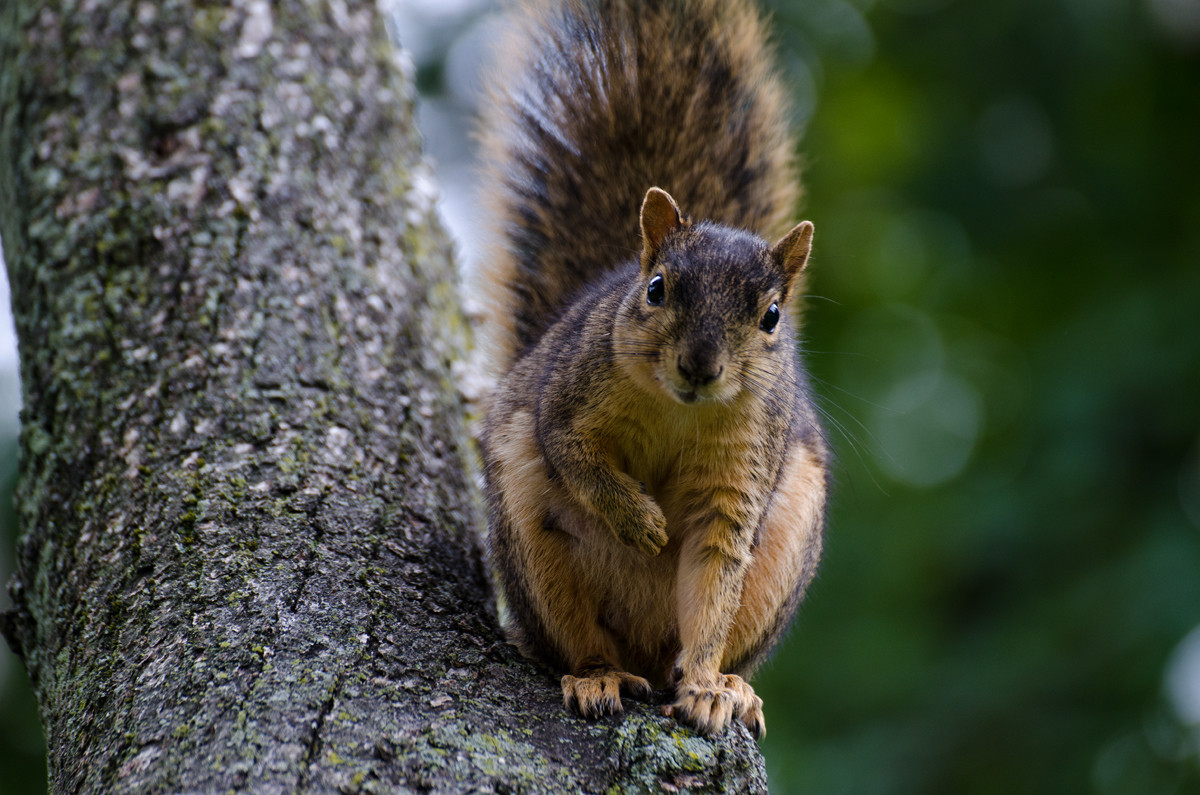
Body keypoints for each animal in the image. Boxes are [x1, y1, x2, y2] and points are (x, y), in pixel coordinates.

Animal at [472, 0, 830, 739]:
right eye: (658, 288)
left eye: (772, 316)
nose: (699, 365)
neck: (679, 412)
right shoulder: (570, 394)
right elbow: (574, 453)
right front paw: (639, 521)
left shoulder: (738, 481)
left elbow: (714, 575)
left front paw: (706, 687)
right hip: (533, 547)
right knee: (576, 640)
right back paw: (597, 675)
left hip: (782, 554)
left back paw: (732, 685)